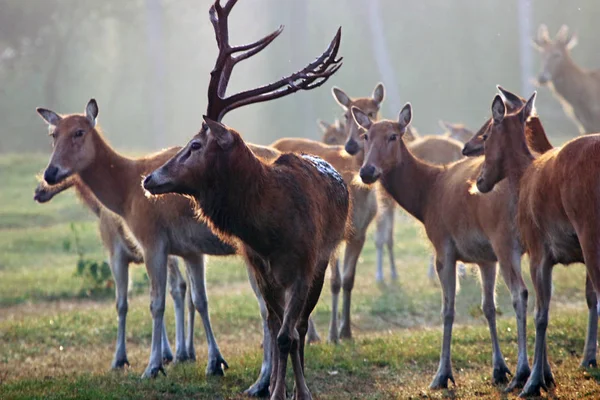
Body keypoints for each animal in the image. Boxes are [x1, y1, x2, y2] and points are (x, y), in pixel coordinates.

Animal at [32, 177, 197, 368]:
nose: (38, 191)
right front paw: (164, 354)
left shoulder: (116, 254)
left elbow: (122, 304)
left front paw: (120, 358)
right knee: (189, 291)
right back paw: (189, 352)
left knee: (180, 286)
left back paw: (182, 352)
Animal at [142, 3, 346, 400]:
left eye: (195, 145)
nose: (150, 178)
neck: (267, 230)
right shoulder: (259, 268)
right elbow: (276, 331)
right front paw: (274, 391)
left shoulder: (304, 265)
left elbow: (288, 335)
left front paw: (294, 392)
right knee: (281, 325)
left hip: (323, 260)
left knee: (299, 328)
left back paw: (301, 388)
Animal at [354, 100, 532, 390]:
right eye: (365, 136)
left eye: (393, 136)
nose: (367, 171)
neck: (426, 198)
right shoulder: (485, 257)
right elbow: (488, 307)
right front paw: (498, 368)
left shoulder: (444, 245)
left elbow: (448, 310)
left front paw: (442, 374)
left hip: (506, 240)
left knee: (521, 293)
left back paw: (525, 371)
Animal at [474, 88, 600, 396]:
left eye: (486, 134)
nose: (480, 180)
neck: (522, 176)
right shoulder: (551, 258)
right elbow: (546, 309)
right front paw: (544, 376)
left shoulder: (537, 250)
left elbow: (539, 314)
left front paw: (532, 381)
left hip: (591, 233)